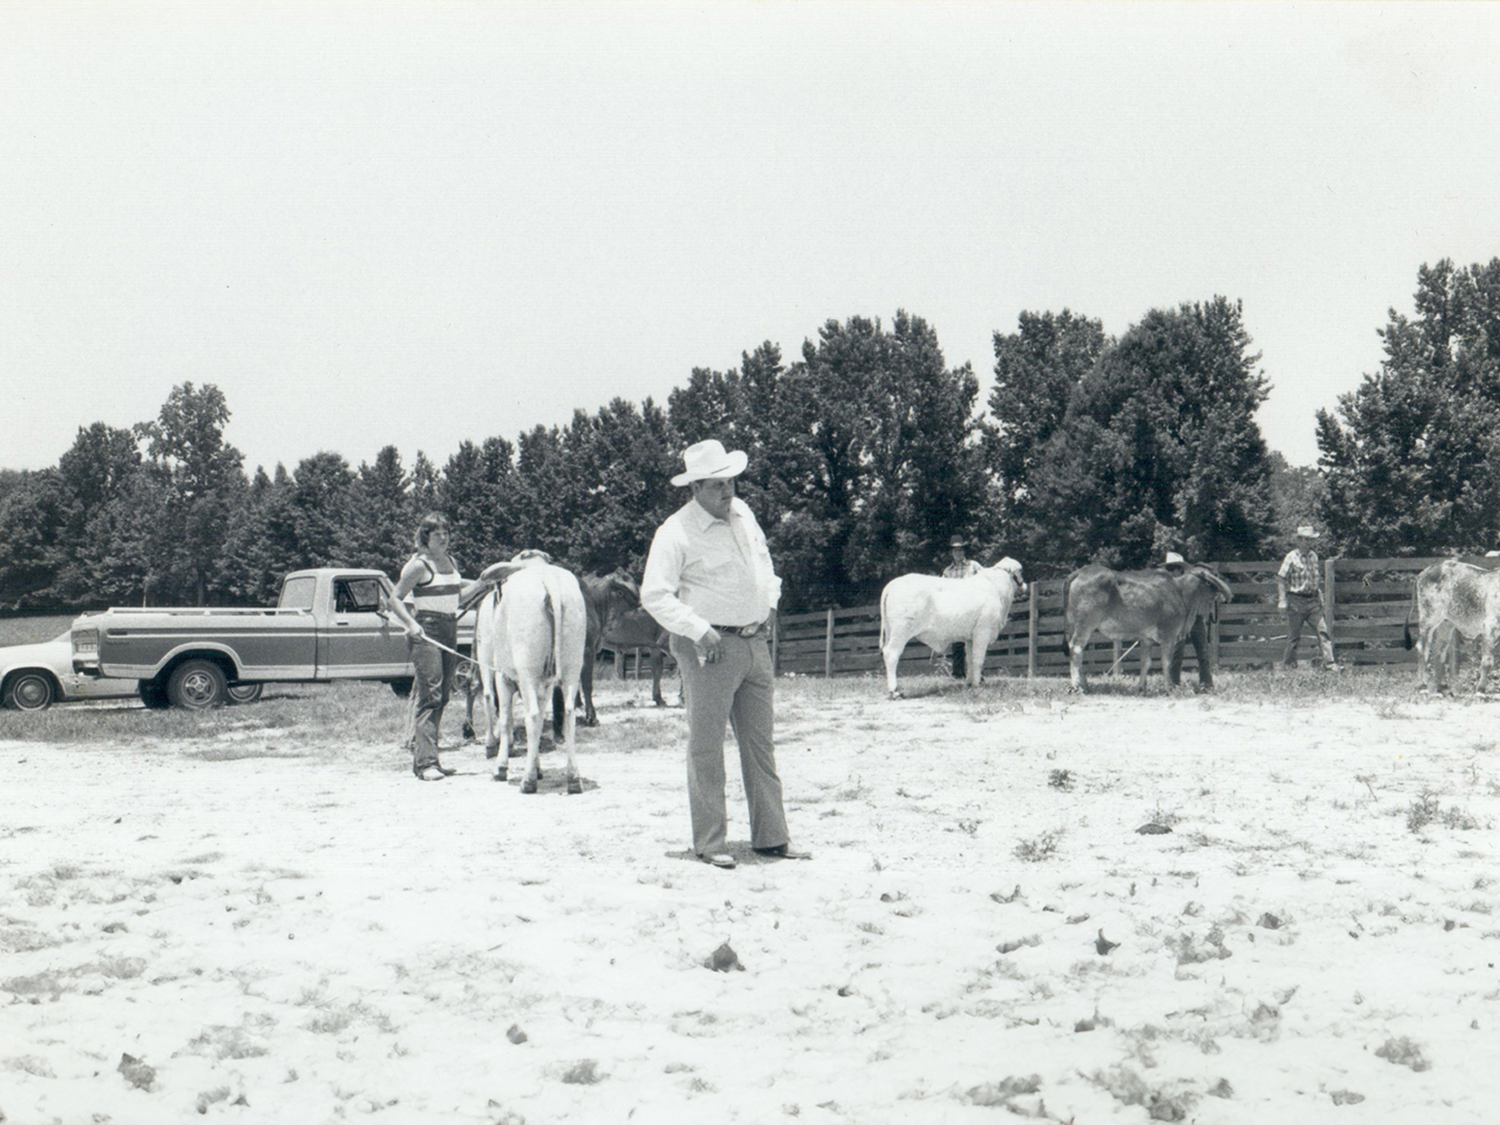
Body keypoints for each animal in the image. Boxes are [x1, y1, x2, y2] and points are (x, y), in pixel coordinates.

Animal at [474, 561, 585, 792]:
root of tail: (548, 576)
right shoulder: (545, 685)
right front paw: (537, 767)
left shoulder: (504, 677)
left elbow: (505, 719)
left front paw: (501, 768)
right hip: (572, 665)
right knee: (567, 714)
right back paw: (573, 779)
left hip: (526, 671)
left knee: (529, 715)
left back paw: (527, 781)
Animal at [876, 561, 1032, 702]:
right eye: (1021, 570)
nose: (1025, 585)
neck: (996, 587)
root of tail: (894, 583)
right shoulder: (982, 632)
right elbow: (978, 660)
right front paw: (977, 686)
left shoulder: (970, 638)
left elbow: (970, 659)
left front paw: (969, 683)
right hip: (900, 632)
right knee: (891, 654)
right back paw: (894, 692)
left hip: (890, 632)